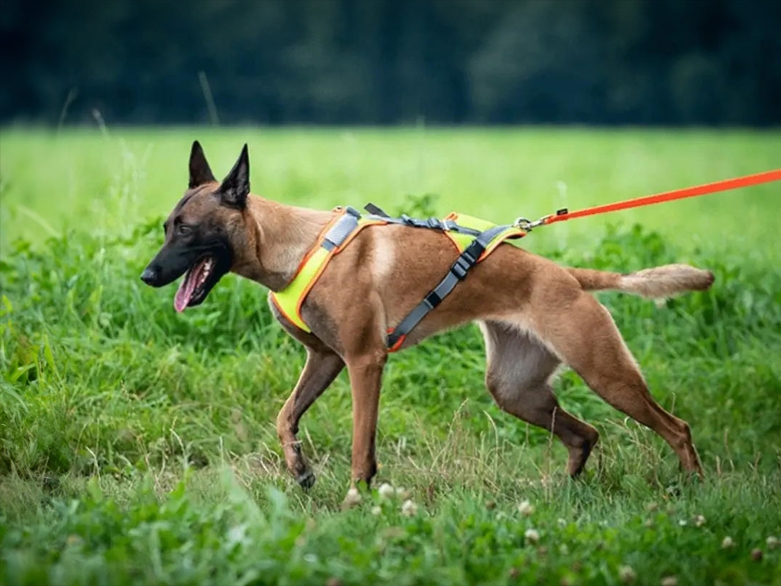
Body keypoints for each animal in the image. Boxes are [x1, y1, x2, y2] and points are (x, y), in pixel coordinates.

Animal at [140, 143, 712, 498]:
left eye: (186, 229)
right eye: (167, 226)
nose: (147, 275)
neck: (296, 246)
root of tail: (568, 276)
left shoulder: (364, 363)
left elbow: (360, 446)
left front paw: (356, 500)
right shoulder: (324, 359)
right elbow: (285, 416)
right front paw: (300, 470)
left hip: (606, 373)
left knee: (677, 427)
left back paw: (693, 489)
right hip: (516, 390)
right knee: (585, 434)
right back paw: (562, 492)